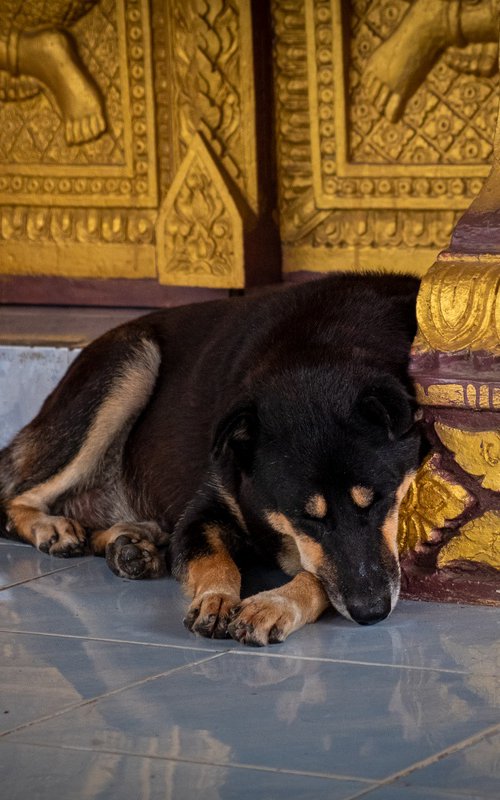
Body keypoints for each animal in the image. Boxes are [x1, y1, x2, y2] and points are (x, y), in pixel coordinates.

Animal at [0, 274, 426, 644]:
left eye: (380, 501)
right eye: (306, 518)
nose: (371, 612)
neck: (320, 346)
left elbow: (318, 573)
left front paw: (273, 604)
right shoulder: (206, 510)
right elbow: (215, 559)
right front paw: (217, 599)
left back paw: (131, 544)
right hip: (129, 365)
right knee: (15, 497)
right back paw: (52, 528)